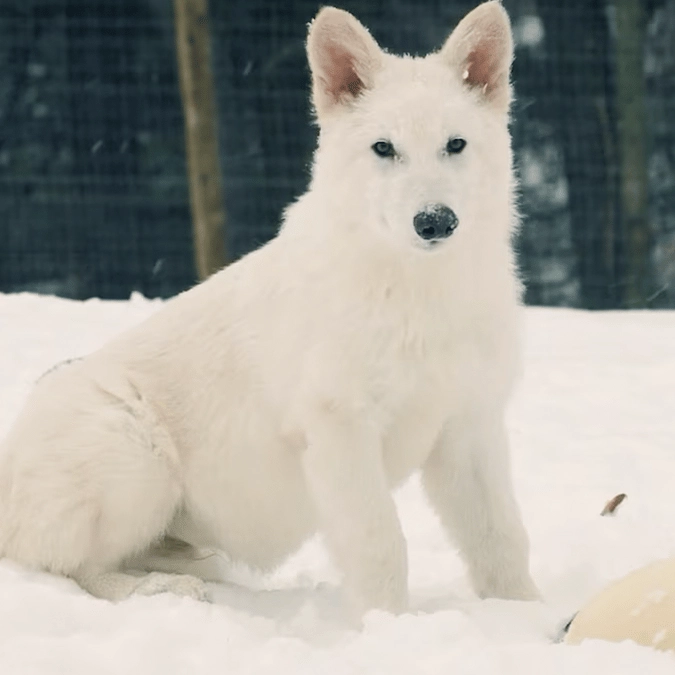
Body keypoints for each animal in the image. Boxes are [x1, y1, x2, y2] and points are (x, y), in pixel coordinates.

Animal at [0, 1, 538, 614]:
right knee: (77, 570)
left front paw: (528, 615)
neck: (417, 291)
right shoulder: (340, 431)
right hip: (133, 455)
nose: (435, 222)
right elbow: (380, 543)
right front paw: (387, 625)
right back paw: (163, 591)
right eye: (384, 148)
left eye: (456, 145)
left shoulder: (468, 427)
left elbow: (501, 539)